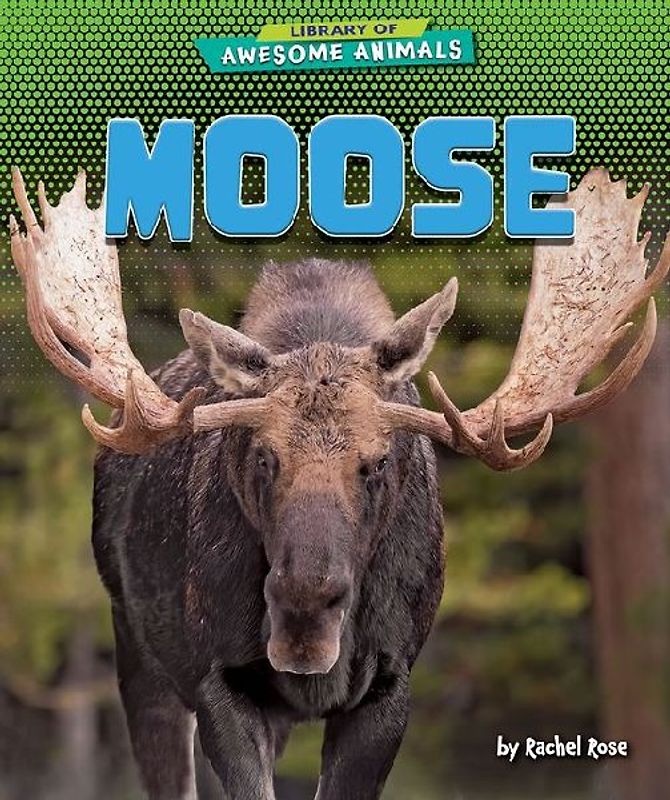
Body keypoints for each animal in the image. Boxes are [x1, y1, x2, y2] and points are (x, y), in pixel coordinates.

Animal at [8, 165, 669, 800]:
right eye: (264, 456)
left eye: (376, 462)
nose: (304, 610)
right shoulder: (218, 679)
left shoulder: (390, 687)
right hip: (137, 651)